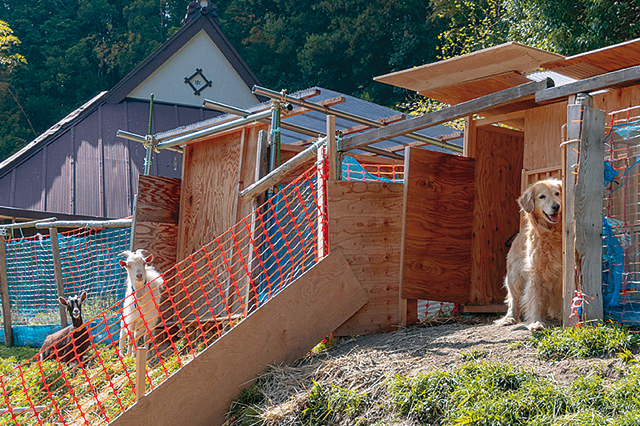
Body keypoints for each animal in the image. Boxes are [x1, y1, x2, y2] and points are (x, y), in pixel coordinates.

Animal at [498, 178, 564, 332]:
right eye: (542, 196)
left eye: (557, 193)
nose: (556, 206)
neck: (551, 233)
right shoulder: (536, 272)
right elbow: (535, 298)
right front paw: (536, 322)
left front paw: (560, 315)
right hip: (514, 277)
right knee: (513, 300)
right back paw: (509, 318)